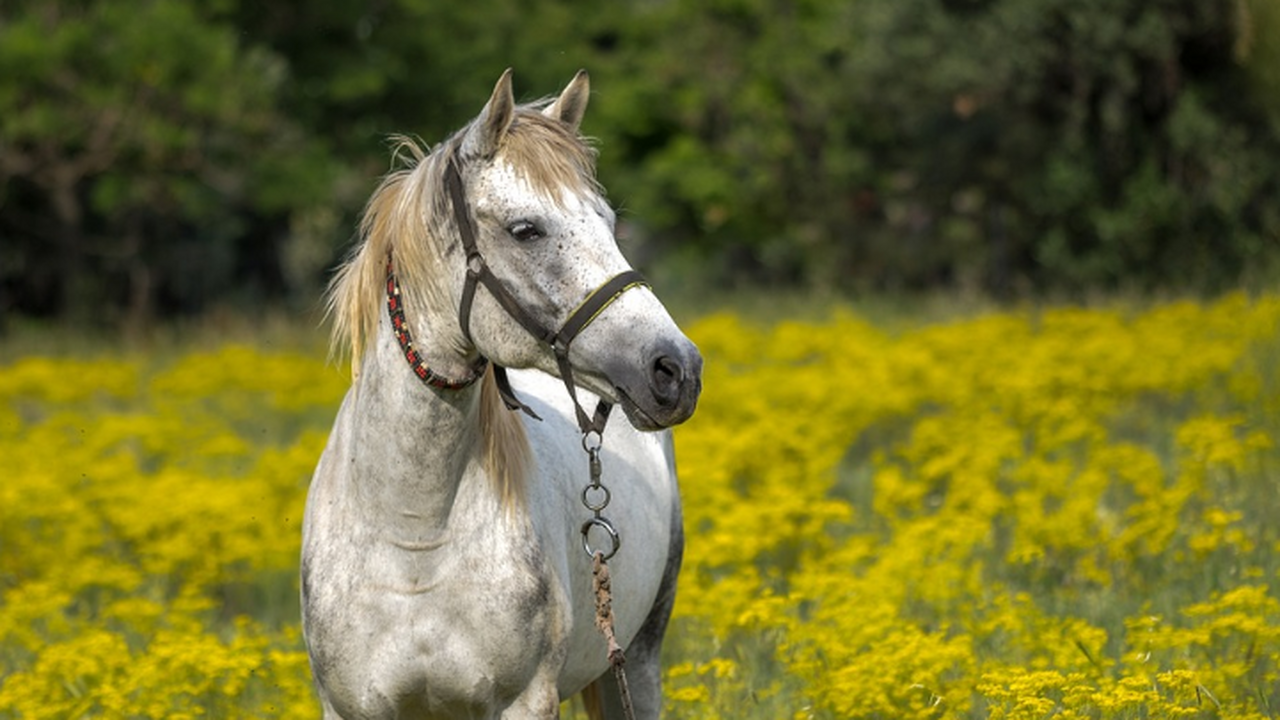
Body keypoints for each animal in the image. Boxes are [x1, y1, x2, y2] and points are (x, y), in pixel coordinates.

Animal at [299, 68, 701, 717]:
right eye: (525, 230)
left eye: (608, 223)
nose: (677, 369)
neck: (414, 538)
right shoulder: (351, 706)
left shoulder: (524, 700)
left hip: (638, 661)